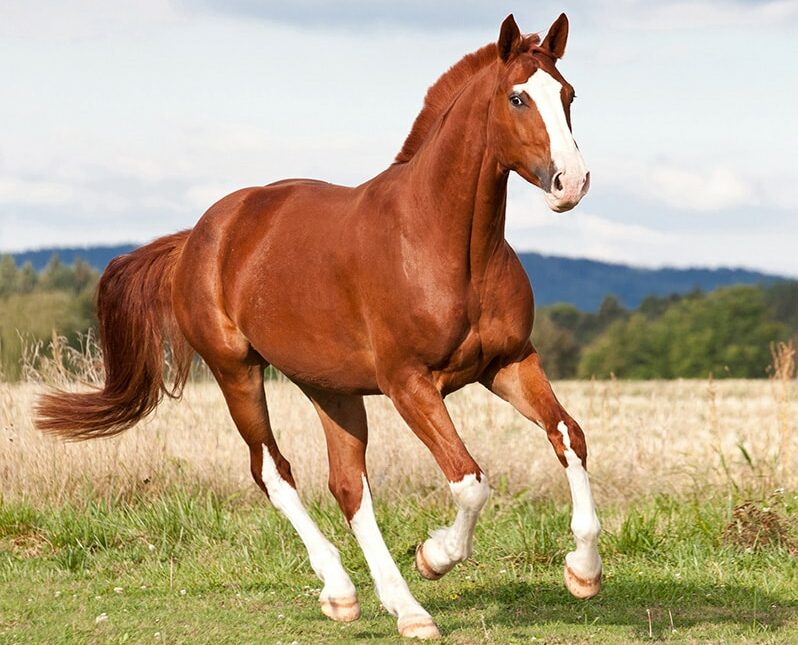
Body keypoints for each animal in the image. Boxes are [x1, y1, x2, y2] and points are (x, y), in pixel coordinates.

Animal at [36, 13, 600, 640]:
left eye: (569, 95)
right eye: (517, 97)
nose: (571, 183)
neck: (443, 241)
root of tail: (198, 238)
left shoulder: (507, 363)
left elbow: (568, 437)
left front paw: (583, 572)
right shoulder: (410, 384)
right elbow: (469, 481)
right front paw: (434, 556)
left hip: (332, 390)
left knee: (349, 487)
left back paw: (400, 609)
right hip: (237, 372)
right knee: (273, 472)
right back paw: (347, 591)